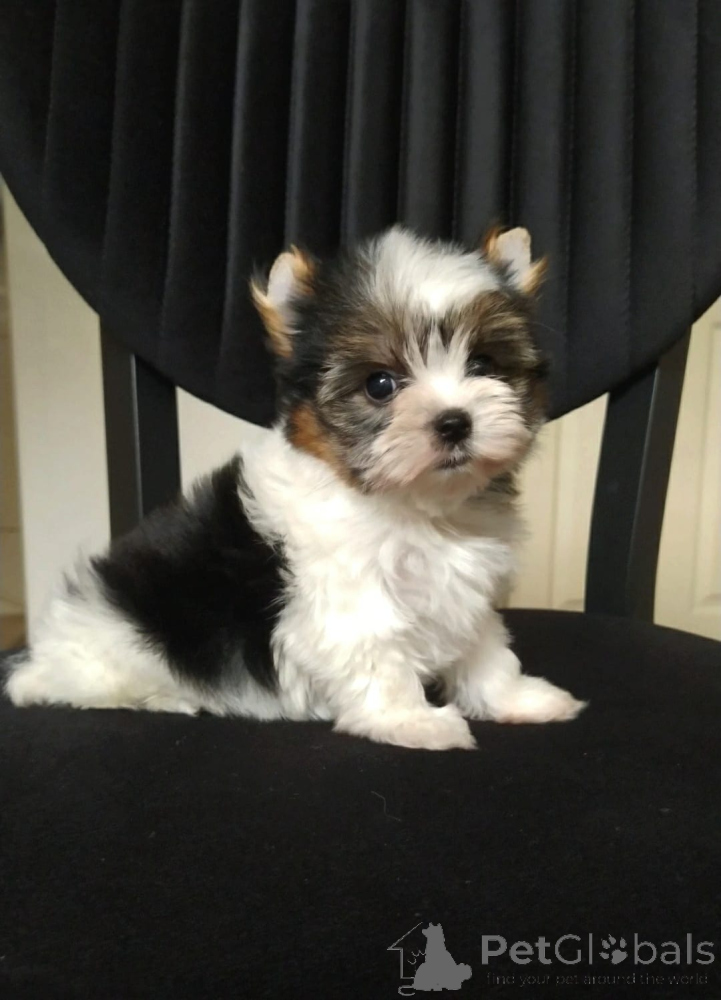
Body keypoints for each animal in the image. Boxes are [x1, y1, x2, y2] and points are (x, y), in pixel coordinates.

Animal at [5, 225, 586, 750]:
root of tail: (39, 656)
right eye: (380, 384)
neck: (416, 507)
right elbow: (378, 654)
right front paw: (411, 721)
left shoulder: (465, 592)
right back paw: (170, 698)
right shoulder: (348, 597)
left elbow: (485, 647)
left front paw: (516, 698)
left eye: (483, 364)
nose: (454, 422)